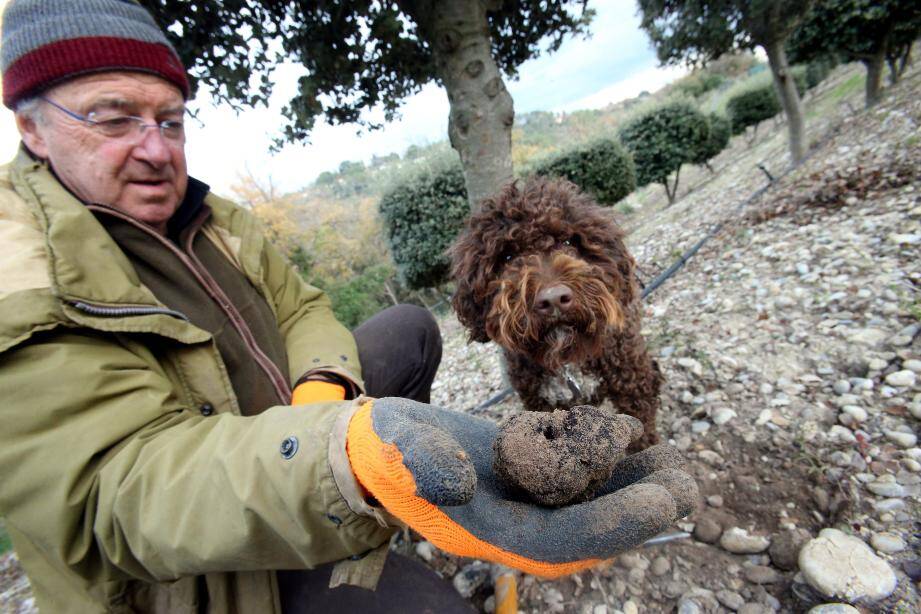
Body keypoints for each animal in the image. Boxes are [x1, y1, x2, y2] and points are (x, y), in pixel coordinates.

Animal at [448, 178, 656, 452]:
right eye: (507, 256)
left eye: (569, 242)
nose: (554, 299)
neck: (567, 360)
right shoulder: (540, 400)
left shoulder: (633, 386)